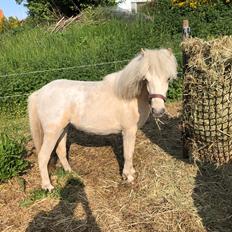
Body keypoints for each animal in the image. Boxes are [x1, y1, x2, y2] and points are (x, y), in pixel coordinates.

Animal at [27, 48, 178, 190]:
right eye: (146, 79)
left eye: (168, 78)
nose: (158, 111)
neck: (129, 97)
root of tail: (40, 92)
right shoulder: (128, 131)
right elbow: (128, 153)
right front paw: (128, 176)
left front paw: (131, 172)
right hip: (52, 132)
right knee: (43, 156)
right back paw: (47, 186)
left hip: (63, 129)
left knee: (61, 151)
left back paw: (71, 173)